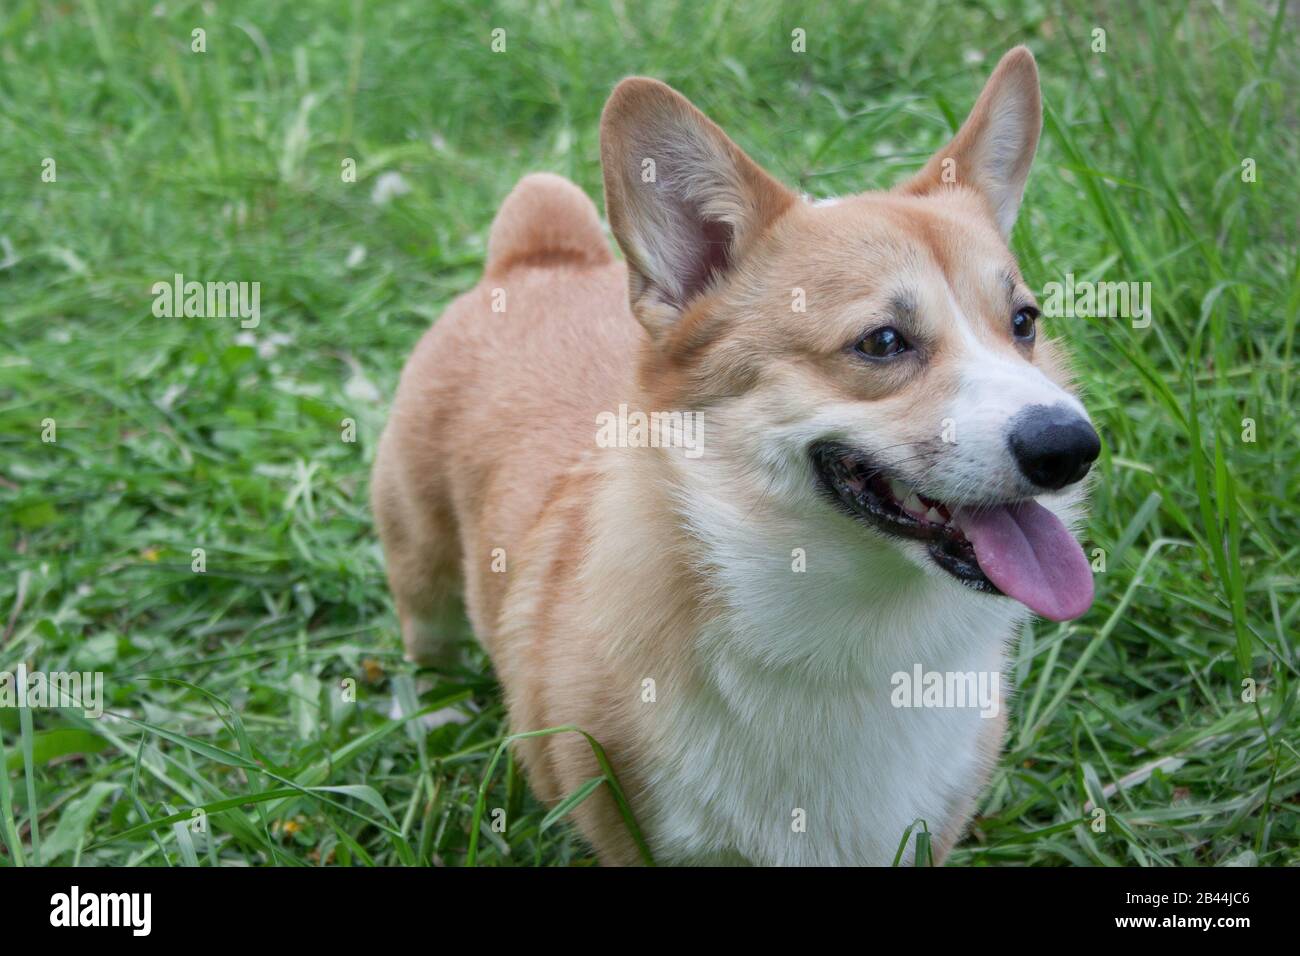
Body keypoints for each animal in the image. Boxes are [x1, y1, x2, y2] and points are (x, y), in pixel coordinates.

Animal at [371, 46, 1102, 868]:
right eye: (882, 342)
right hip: (421, 559)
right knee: (427, 639)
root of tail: (535, 258)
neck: (853, 629)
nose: (1071, 447)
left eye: (1024, 322)